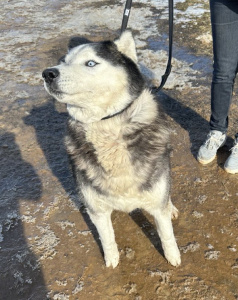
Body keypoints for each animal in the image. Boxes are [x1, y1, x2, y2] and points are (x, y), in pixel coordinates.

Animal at [42, 31, 180, 268]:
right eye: (63, 61)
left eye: (90, 63)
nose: (47, 73)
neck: (108, 126)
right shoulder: (97, 209)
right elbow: (106, 236)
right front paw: (111, 258)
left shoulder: (157, 198)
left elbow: (166, 234)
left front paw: (173, 256)